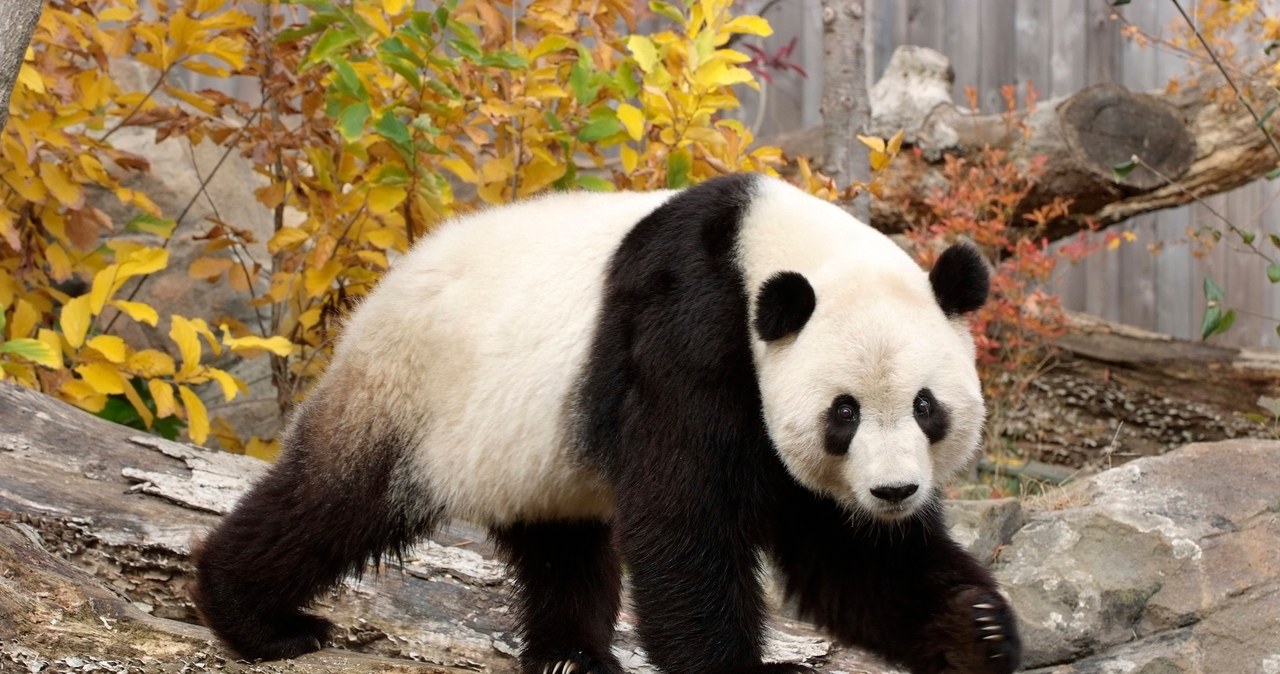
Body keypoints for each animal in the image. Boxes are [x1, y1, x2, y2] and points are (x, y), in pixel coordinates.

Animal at [191, 173, 1021, 674]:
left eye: (925, 405)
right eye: (843, 413)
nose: (894, 494)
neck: (767, 248)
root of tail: (387, 280)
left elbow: (846, 556)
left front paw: (976, 628)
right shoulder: (686, 332)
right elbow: (685, 522)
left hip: (532, 447)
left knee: (562, 546)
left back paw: (572, 655)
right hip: (413, 390)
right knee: (333, 502)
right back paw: (260, 619)